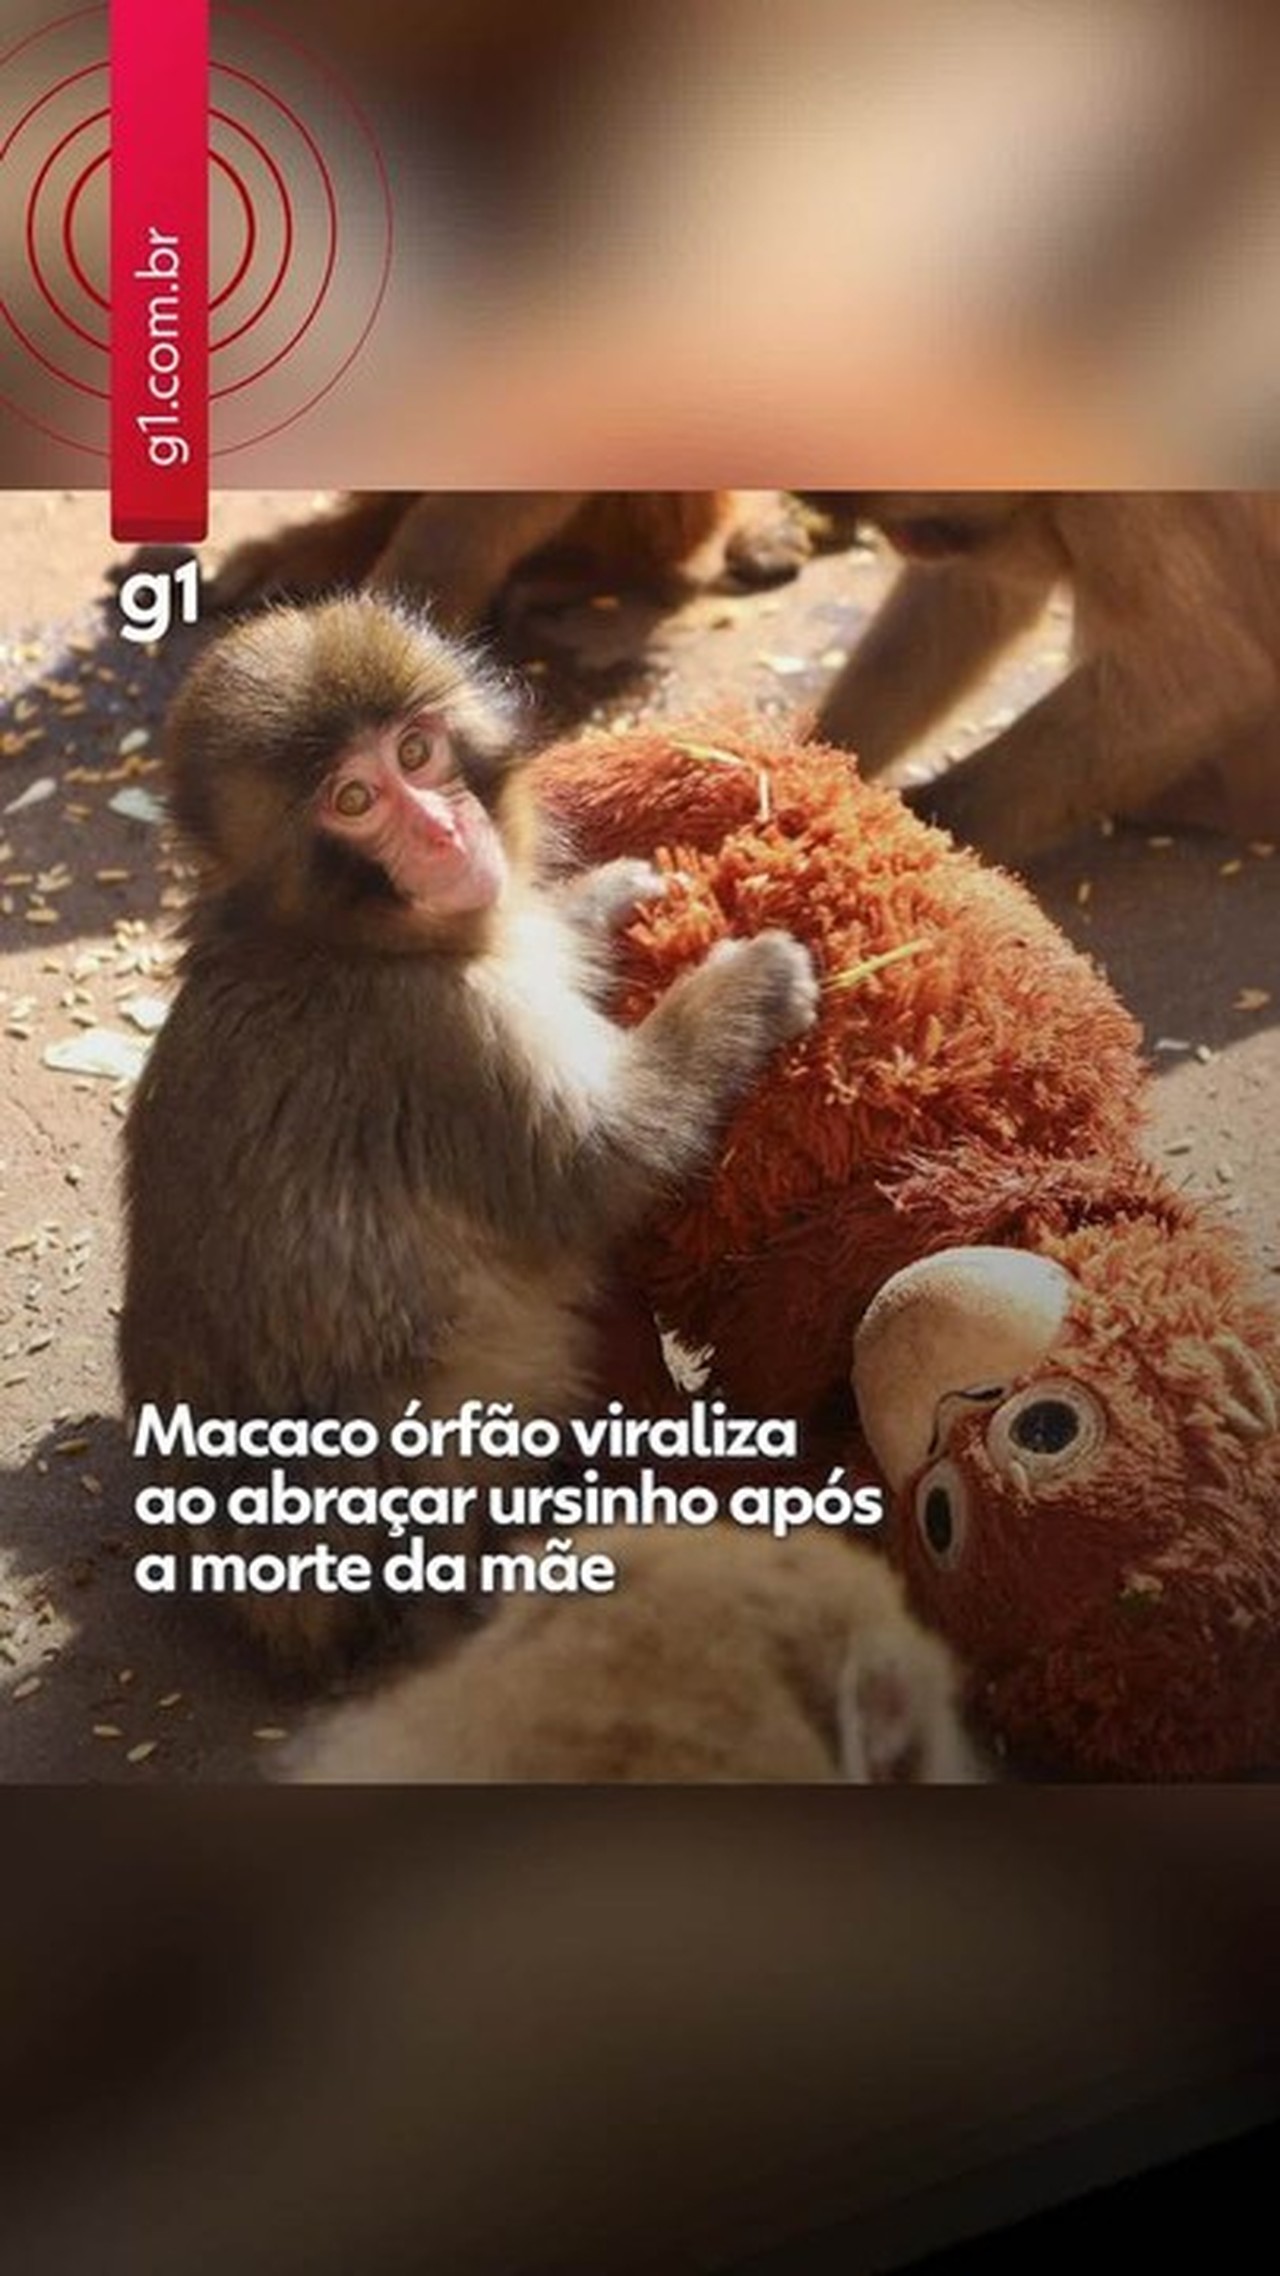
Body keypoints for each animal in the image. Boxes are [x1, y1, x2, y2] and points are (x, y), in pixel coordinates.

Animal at [118, 594, 818, 1668]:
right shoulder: (439, 1038)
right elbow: (597, 1168)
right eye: (354, 800)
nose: (445, 831)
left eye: (417, 751)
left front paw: (599, 901)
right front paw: (748, 985)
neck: (340, 940)